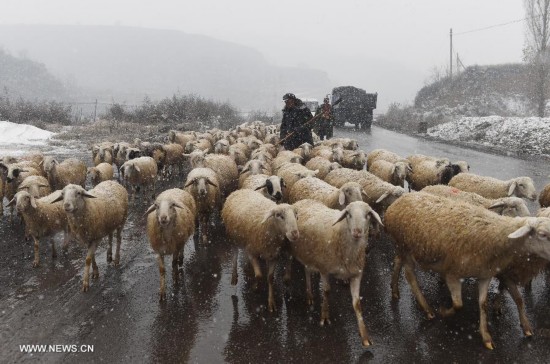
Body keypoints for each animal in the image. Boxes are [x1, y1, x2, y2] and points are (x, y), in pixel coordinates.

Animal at [294, 199, 384, 346]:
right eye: (348, 214)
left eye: (368, 215)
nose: (357, 231)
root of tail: (304, 200)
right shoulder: (324, 269)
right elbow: (326, 291)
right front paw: (325, 317)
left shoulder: (356, 275)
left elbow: (357, 304)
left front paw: (365, 336)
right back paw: (307, 294)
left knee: (307, 269)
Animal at [386, 193, 550, 350]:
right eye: (542, 234)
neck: (496, 234)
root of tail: (400, 200)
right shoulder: (453, 274)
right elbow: (458, 304)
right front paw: (444, 312)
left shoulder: (486, 275)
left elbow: (484, 303)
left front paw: (487, 337)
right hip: (405, 248)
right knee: (410, 276)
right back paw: (427, 309)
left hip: (403, 248)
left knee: (398, 262)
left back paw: (395, 290)